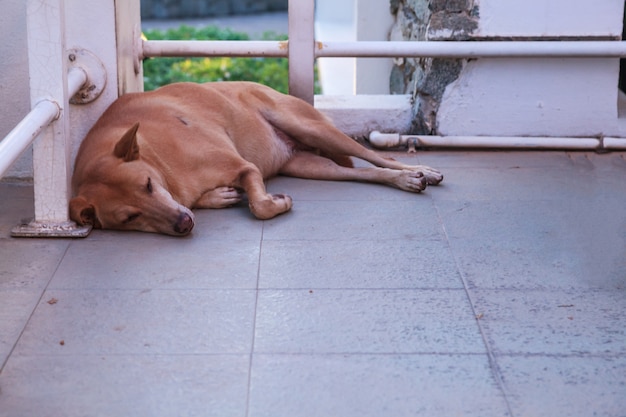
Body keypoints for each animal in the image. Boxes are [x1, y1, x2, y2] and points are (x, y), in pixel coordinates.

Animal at [68, 81, 442, 234]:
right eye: (130, 218)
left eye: (147, 185)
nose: (183, 225)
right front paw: (219, 197)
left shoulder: (242, 166)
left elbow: (259, 204)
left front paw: (276, 202)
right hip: (312, 166)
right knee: (363, 172)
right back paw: (404, 179)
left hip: (310, 127)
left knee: (375, 157)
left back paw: (418, 171)